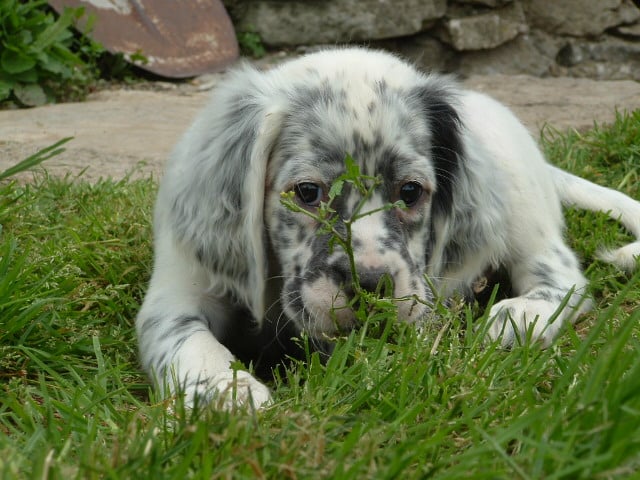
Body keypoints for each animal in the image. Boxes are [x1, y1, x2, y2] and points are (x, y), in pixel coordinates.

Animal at [136, 47, 640, 408]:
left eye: (411, 191)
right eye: (307, 192)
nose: (371, 286)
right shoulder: (177, 291)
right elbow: (185, 338)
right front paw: (228, 395)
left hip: (523, 212)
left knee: (565, 279)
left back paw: (514, 317)